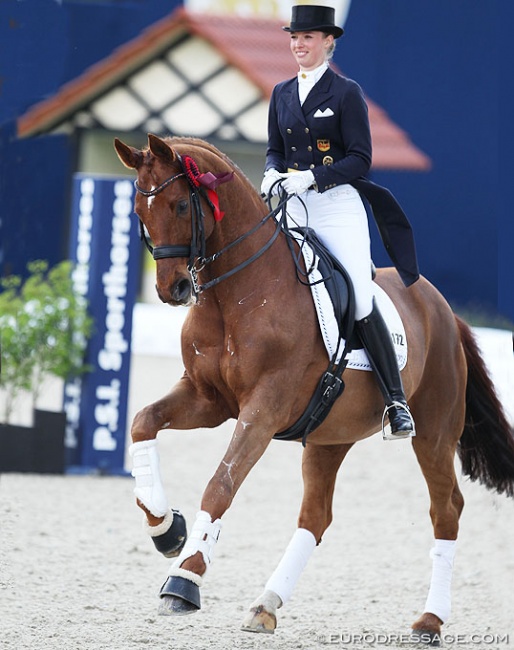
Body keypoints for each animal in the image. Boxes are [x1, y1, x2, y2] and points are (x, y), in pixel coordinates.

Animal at [113, 134, 512, 640]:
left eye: (182, 204)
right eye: (139, 212)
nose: (175, 289)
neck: (237, 294)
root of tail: (441, 306)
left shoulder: (263, 410)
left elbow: (221, 483)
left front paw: (184, 578)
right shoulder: (208, 400)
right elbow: (143, 422)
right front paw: (166, 528)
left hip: (436, 433)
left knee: (447, 510)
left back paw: (430, 620)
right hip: (329, 436)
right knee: (316, 516)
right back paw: (265, 604)